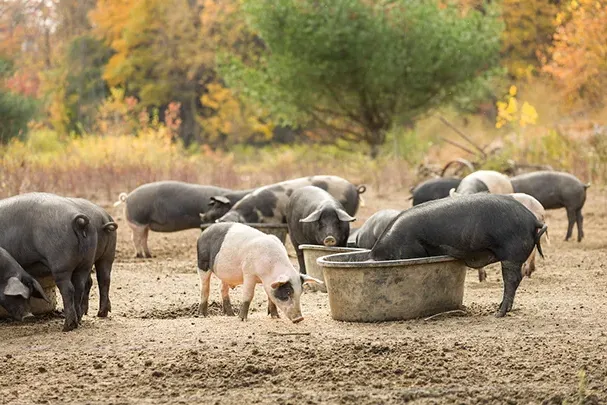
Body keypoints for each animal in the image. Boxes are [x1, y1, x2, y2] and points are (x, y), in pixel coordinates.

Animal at [0, 191, 97, 330]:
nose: (28, 316)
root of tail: (79, 221)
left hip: (60, 264)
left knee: (68, 289)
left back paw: (67, 326)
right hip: (86, 262)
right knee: (79, 286)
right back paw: (78, 322)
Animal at [114, 181, 254, 258]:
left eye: (218, 206)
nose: (202, 216)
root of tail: (127, 197)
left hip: (144, 225)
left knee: (143, 239)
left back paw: (149, 255)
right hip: (138, 222)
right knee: (135, 239)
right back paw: (139, 256)